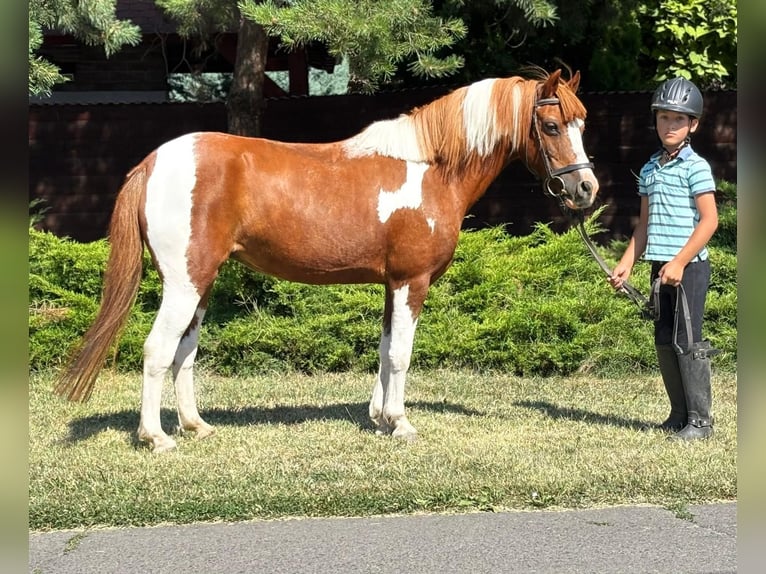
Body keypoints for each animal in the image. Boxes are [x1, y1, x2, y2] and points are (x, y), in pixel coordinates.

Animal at [55, 68, 599, 453]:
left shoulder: (391, 284)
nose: (586, 188)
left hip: (202, 282)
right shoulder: (412, 281)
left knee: (183, 353)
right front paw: (402, 424)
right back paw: (157, 437)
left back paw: (195, 426)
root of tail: (152, 163)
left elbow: (384, 350)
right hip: (185, 283)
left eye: (582, 123)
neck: (430, 169)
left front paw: (380, 419)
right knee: (156, 351)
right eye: (552, 125)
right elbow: (401, 355)